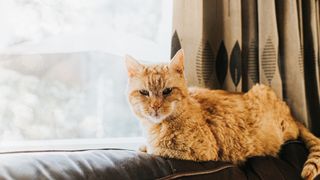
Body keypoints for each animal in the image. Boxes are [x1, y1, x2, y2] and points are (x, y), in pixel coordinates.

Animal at [124, 49, 320, 180]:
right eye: (144, 92)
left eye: (167, 91)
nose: (155, 106)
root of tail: (292, 114)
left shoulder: (202, 151)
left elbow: (157, 148)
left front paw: (146, 146)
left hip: (265, 96)